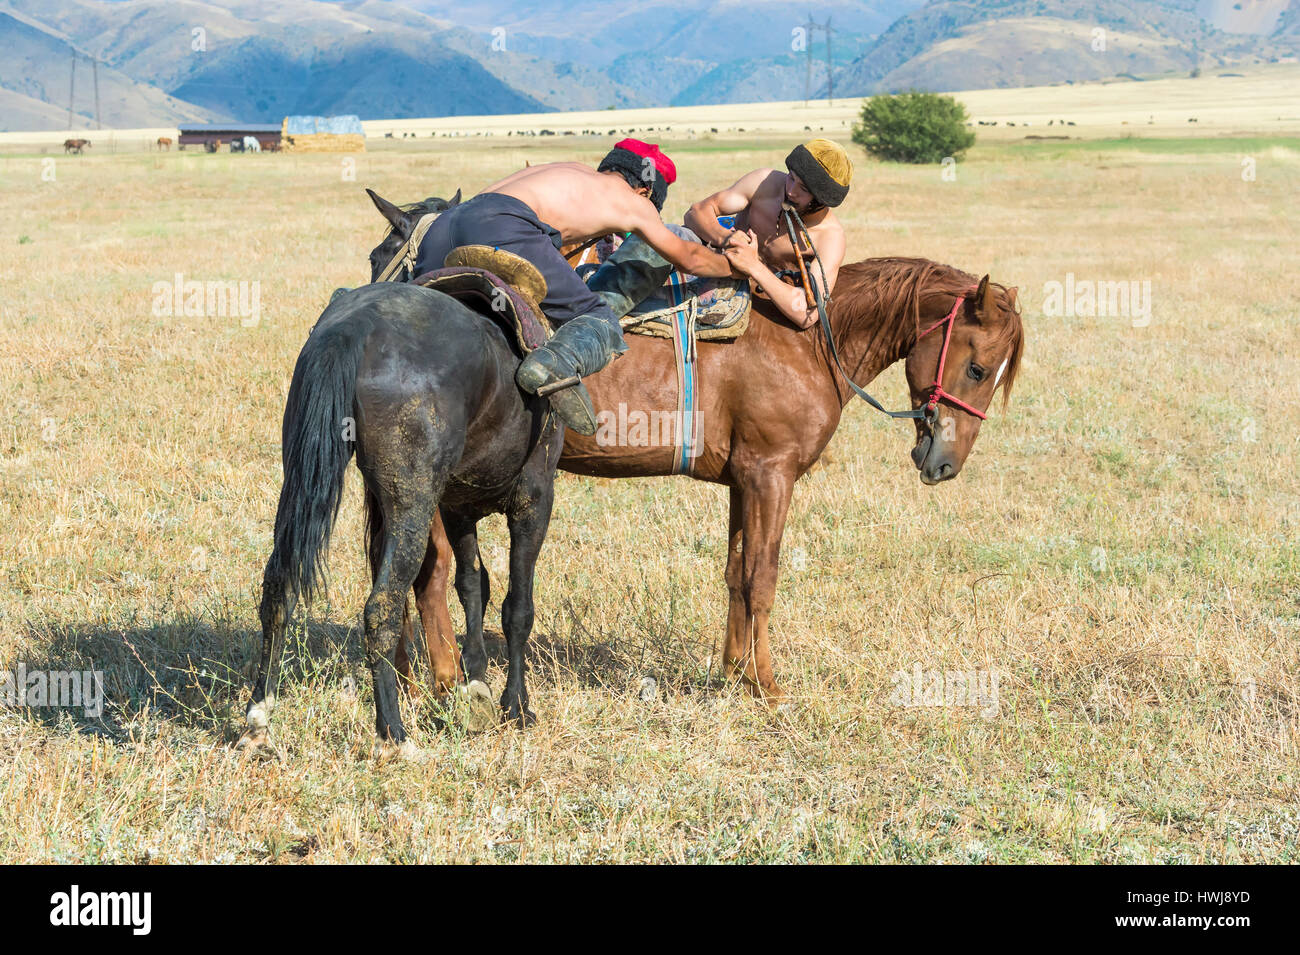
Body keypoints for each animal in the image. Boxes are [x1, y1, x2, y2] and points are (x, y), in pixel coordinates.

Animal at [239, 229, 564, 753]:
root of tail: (351, 330)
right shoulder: (533, 501)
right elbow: (516, 606)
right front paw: (515, 706)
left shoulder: (458, 507)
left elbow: (471, 586)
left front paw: (475, 687)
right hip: (411, 507)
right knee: (382, 608)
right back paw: (394, 733)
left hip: (302, 492)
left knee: (278, 589)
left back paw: (258, 719)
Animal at [366, 188, 1024, 712]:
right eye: (975, 366)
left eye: (992, 375)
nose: (944, 463)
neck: (807, 337)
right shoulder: (771, 475)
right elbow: (763, 577)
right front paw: (768, 686)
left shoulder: (745, 480)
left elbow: (735, 573)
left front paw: (732, 673)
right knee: (430, 577)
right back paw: (445, 681)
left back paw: (414, 679)